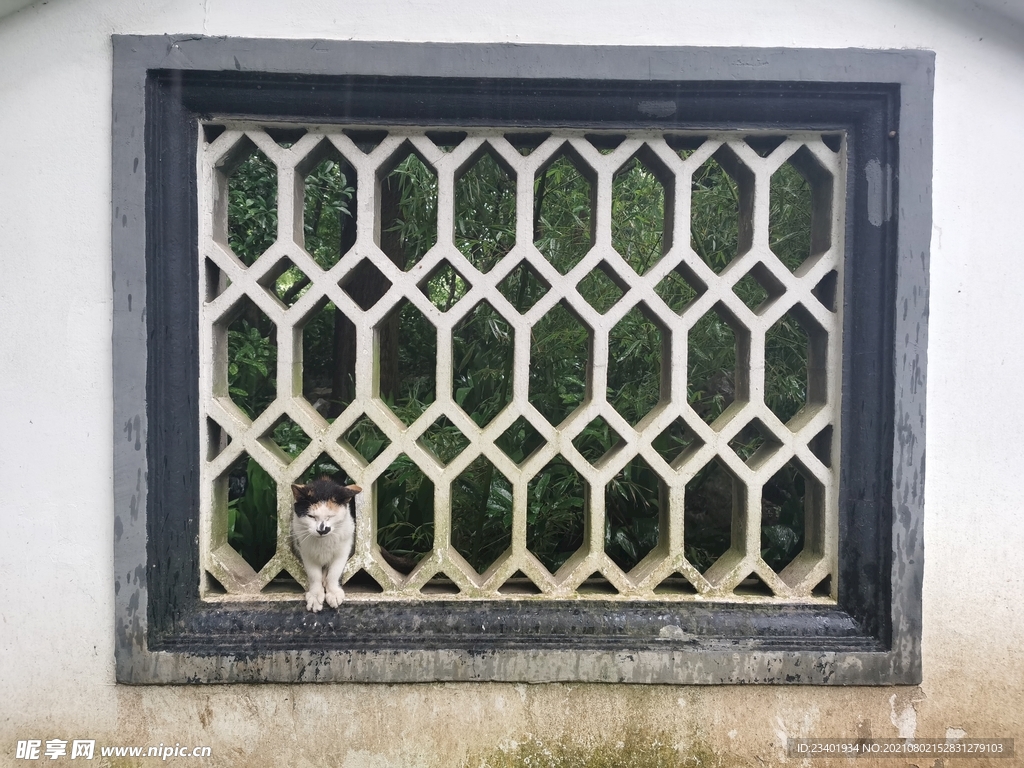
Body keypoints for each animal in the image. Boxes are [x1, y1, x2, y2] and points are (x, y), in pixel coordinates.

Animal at [290, 481, 362, 614]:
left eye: (330, 516)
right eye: (311, 516)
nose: (322, 530)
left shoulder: (344, 548)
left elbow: (334, 572)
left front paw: (333, 592)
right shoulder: (305, 550)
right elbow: (314, 574)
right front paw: (315, 596)